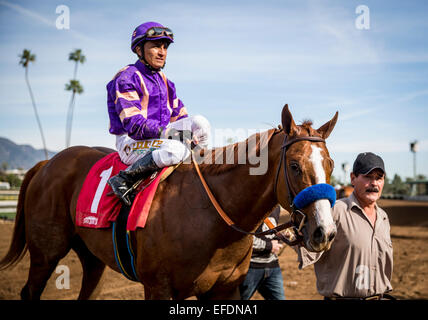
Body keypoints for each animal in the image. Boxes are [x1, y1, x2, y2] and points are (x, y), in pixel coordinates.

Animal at [0, 105, 338, 300]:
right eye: (294, 166)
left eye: (331, 164)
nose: (325, 231)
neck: (209, 218)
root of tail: (47, 163)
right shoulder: (158, 287)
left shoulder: (225, 289)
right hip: (46, 253)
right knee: (30, 290)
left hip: (92, 256)